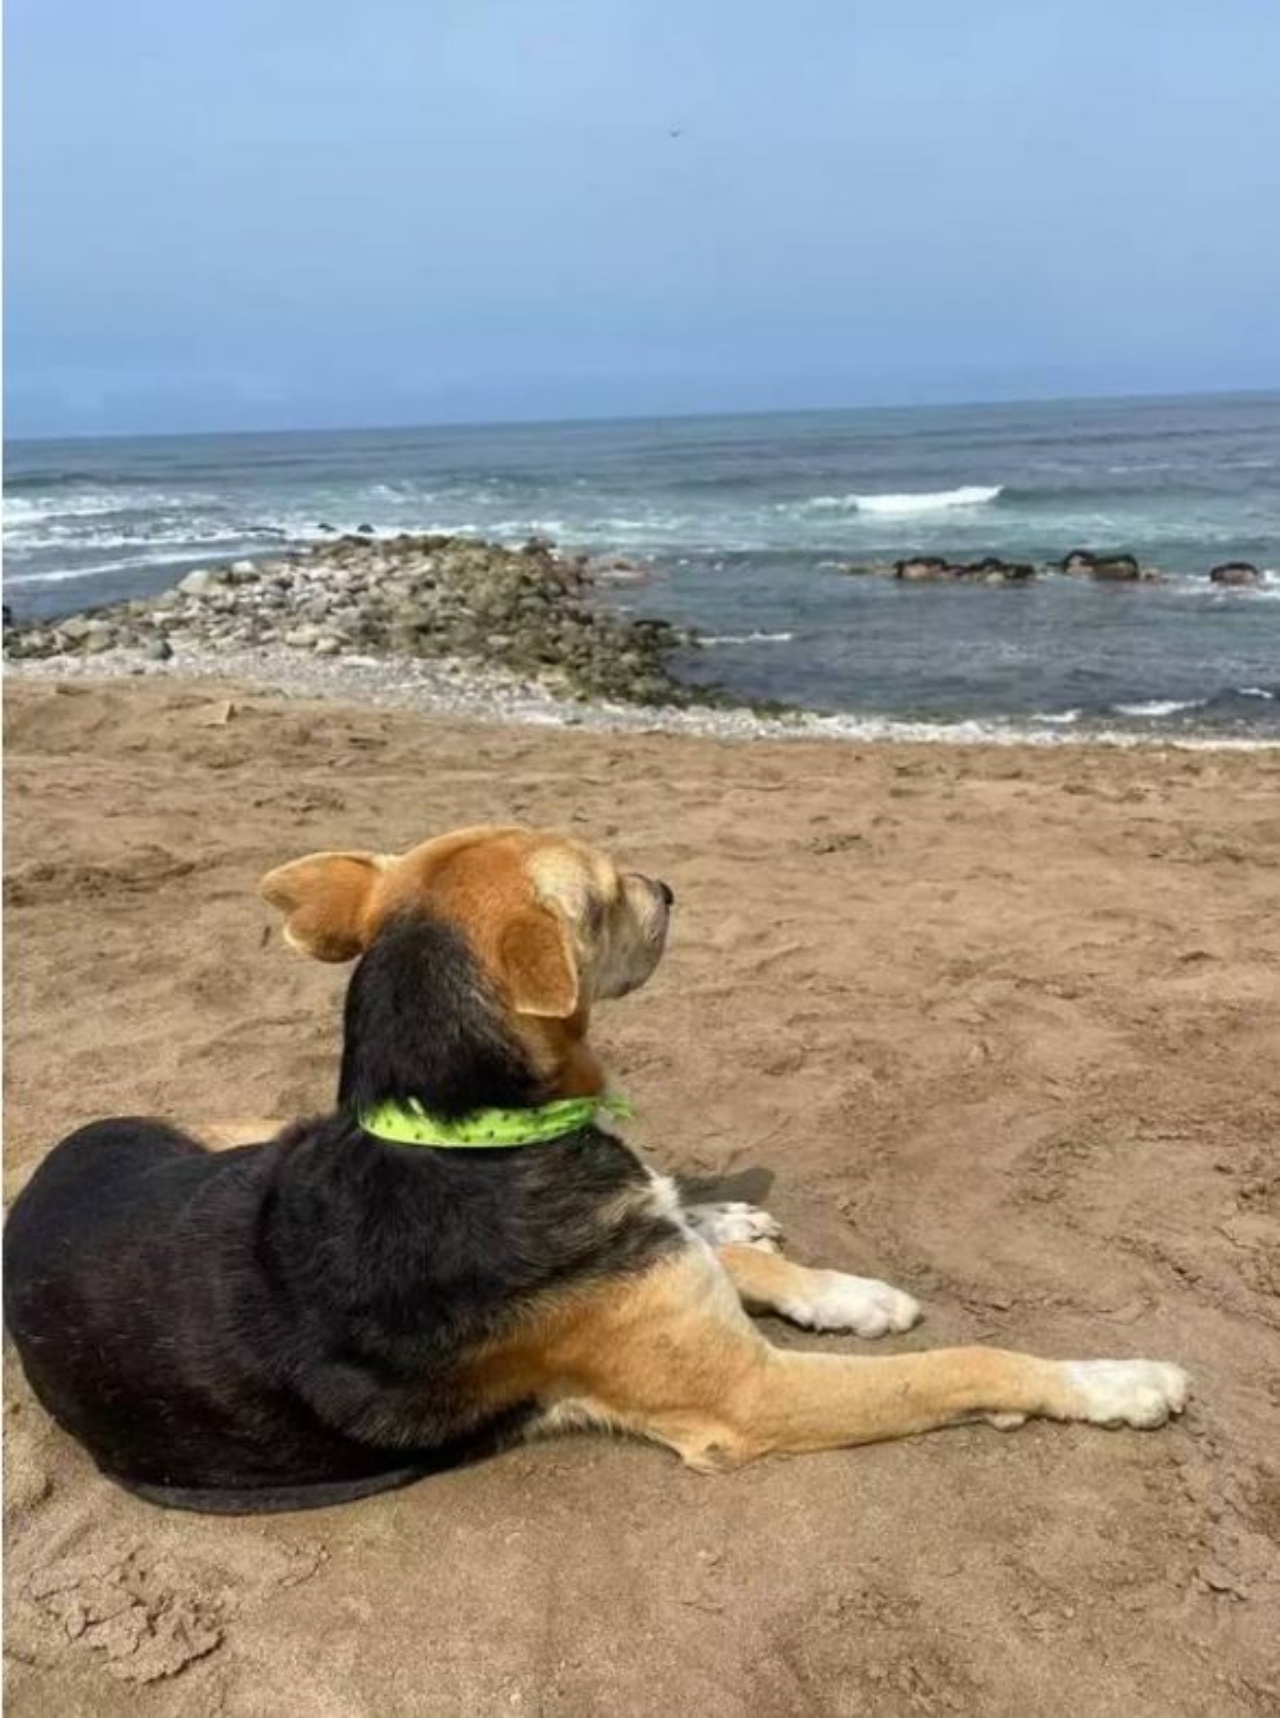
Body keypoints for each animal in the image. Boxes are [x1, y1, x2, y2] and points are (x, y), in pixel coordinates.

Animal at [2, 824, 1188, 1511]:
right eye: (609, 892)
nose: (670, 885)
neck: (468, 1130)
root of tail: (46, 1170)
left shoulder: (639, 1251)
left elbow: (727, 1255)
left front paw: (844, 1290)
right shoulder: (749, 1396)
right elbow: (963, 1365)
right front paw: (1119, 1381)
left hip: (248, 1133)